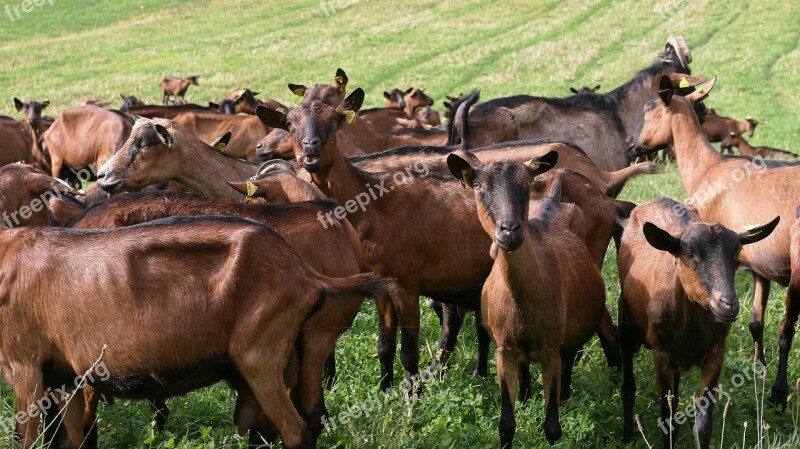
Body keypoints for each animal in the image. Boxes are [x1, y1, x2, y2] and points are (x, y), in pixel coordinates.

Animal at [446, 152, 604, 446]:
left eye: (528, 183)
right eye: (477, 186)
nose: (509, 230)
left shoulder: (551, 351)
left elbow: (552, 428)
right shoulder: (504, 351)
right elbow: (506, 425)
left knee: (569, 361)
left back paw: (564, 396)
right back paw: (526, 394)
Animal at [616, 198, 780, 446]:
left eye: (738, 250)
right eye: (689, 253)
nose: (728, 304)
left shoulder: (715, 355)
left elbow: (702, 425)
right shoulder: (661, 355)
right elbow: (667, 421)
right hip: (626, 325)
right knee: (628, 384)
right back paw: (626, 435)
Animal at [628, 76, 800, 410]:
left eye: (648, 108)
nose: (631, 144)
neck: (706, 167)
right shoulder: (758, 263)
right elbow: (756, 322)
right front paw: (759, 368)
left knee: (788, 328)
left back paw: (779, 394)